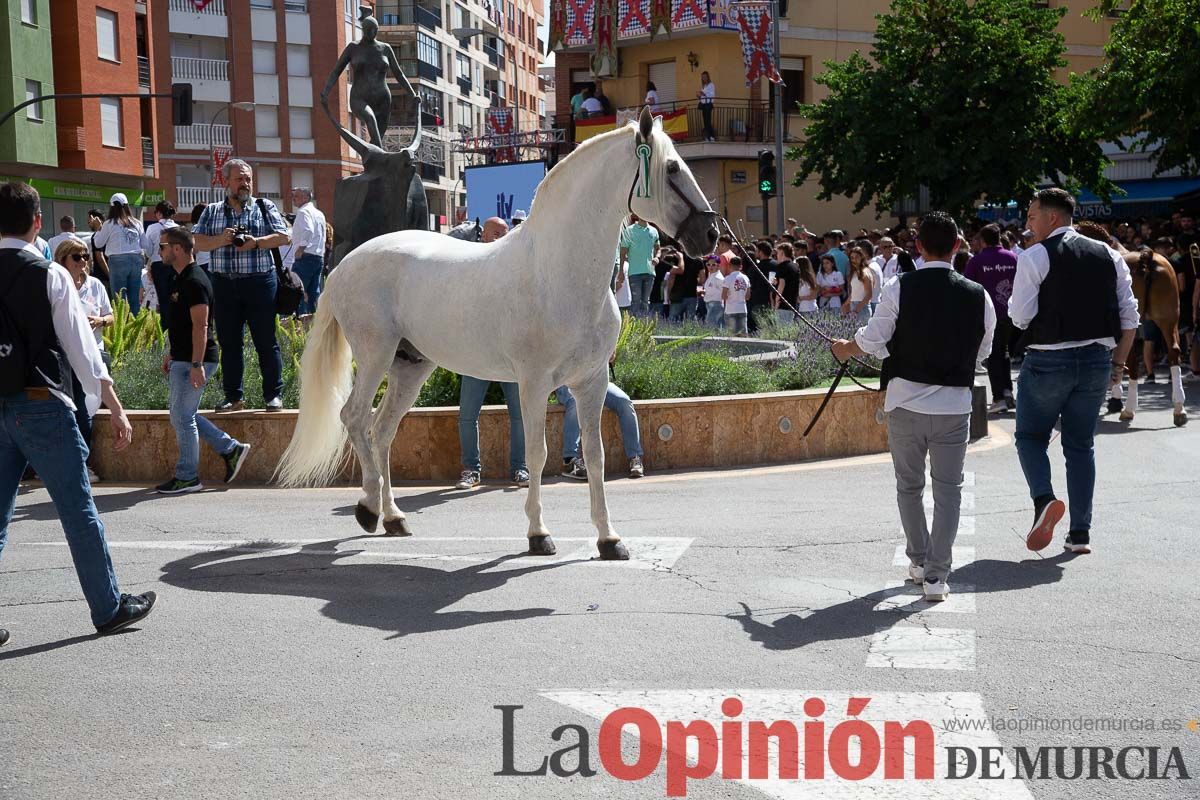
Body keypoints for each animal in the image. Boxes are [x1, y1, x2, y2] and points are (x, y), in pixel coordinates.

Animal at [275, 107, 718, 560]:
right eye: (671, 169)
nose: (710, 235)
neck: (558, 272)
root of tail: (344, 265)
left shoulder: (591, 382)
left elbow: (594, 456)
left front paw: (609, 539)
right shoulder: (535, 384)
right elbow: (538, 454)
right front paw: (539, 535)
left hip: (410, 367)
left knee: (381, 430)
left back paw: (394, 518)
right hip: (374, 357)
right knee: (354, 418)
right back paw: (367, 509)